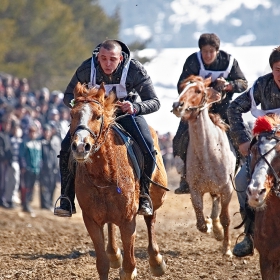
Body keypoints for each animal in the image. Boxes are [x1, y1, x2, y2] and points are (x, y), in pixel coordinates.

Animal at [69, 82, 167, 278]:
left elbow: (129, 266)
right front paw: (111, 258)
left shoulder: (128, 220)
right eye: (72, 114)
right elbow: (102, 264)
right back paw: (114, 253)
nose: (81, 146)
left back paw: (156, 260)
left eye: (98, 116)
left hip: (156, 196)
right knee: (111, 226)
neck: (103, 174)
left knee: (150, 219)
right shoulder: (91, 220)